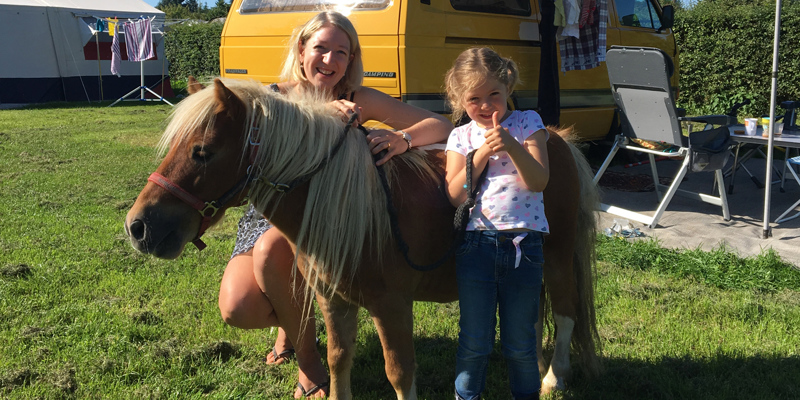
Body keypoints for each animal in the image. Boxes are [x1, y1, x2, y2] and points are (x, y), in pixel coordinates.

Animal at [125, 79, 600, 400]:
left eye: (202, 151)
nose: (139, 227)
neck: (358, 212)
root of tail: (555, 139)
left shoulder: (392, 307)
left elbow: (399, 372)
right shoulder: (334, 301)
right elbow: (338, 360)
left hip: (557, 258)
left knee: (565, 313)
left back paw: (553, 377)